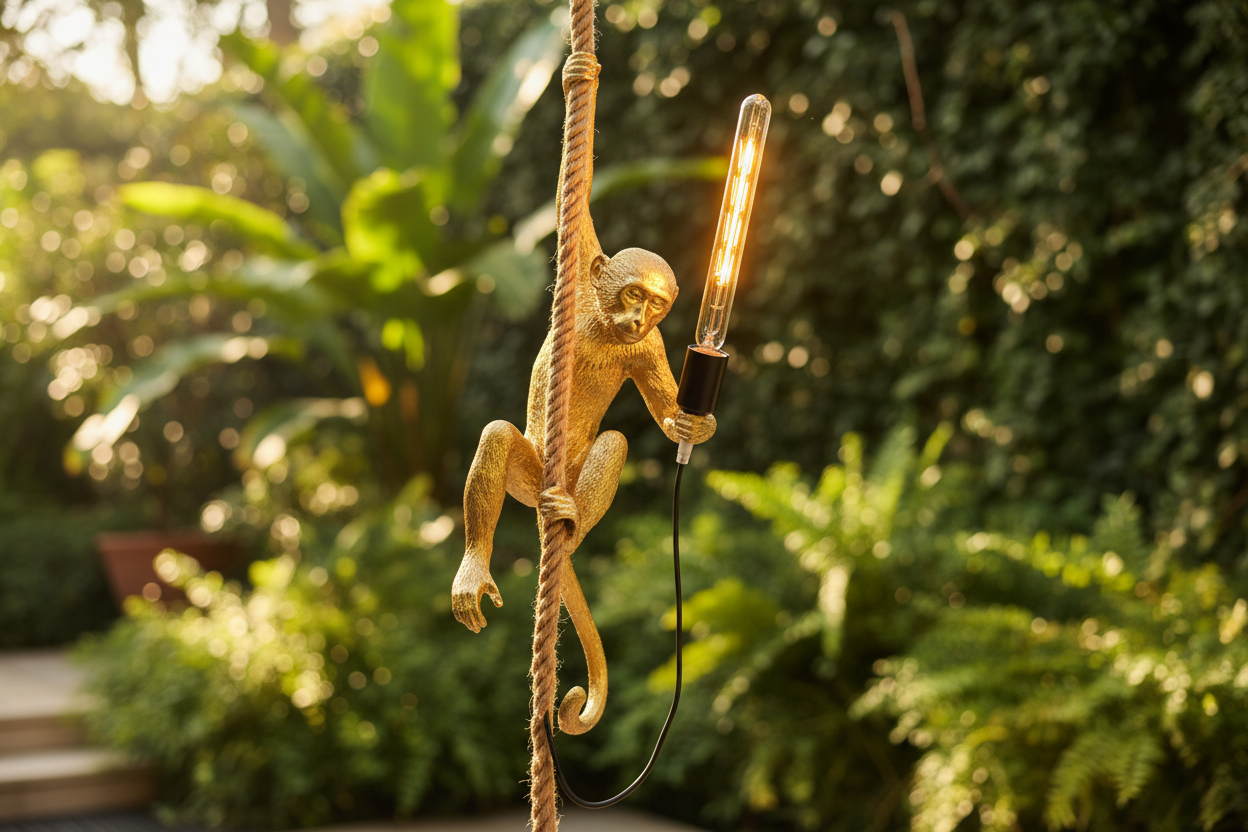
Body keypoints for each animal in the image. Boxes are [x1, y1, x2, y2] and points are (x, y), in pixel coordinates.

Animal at [451, 241, 717, 734]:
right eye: (633, 293)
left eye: (657, 303)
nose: (639, 318)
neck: (604, 327)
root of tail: (556, 488)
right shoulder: (583, 294)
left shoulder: (648, 345)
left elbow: (667, 413)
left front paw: (694, 425)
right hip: (531, 477)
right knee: (498, 435)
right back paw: (477, 565)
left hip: (566, 480)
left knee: (614, 441)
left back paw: (570, 527)